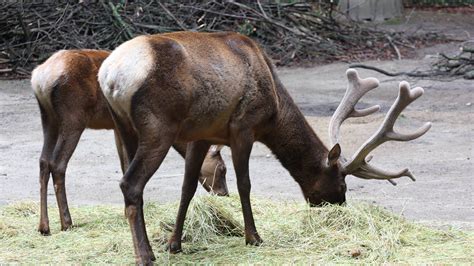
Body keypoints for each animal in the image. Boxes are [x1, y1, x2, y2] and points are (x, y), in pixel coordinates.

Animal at [30, 49, 230, 235]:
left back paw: (44, 226)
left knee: (43, 161)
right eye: (222, 168)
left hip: (48, 117)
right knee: (57, 163)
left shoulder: (116, 128)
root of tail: (40, 78)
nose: (224, 194)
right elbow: (128, 164)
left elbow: (123, 163)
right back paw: (67, 222)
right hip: (73, 116)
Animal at [98, 31, 432, 262]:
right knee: (130, 183)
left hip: (123, 125)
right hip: (159, 126)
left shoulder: (202, 134)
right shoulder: (244, 127)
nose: (339, 207)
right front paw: (254, 237)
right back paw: (144, 255)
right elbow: (245, 184)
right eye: (342, 183)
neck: (275, 108)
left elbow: (188, 186)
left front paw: (175, 243)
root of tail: (111, 76)